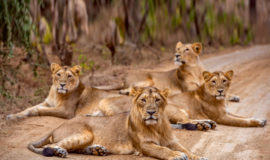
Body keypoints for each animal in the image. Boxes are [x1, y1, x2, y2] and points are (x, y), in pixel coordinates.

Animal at [28, 87, 207, 160]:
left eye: (157, 100)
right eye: (143, 100)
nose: (150, 112)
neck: (157, 126)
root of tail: (56, 127)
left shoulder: (172, 141)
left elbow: (186, 149)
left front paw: (198, 156)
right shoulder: (144, 145)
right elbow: (162, 150)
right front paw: (176, 155)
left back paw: (97, 150)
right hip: (84, 133)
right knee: (49, 146)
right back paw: (59, 152)